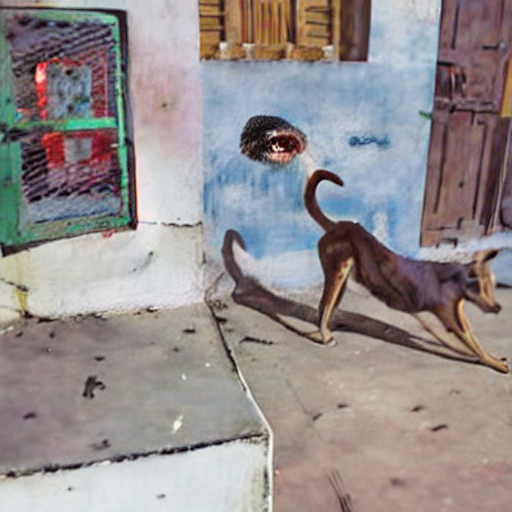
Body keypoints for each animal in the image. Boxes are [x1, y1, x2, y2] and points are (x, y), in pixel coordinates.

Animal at [304, 169, 510, 374]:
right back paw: (325, 335)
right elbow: (476, 347)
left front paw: (493, 358)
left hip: (342, 279)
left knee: (324, 307)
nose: (497, 307)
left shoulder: (456, 319)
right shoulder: (453, 322)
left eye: (492, 285)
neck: (454, 281)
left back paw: (327, 329)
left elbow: (469, 344)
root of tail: (335, 225)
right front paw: (495, 363)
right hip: (338, 274)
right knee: (325, 307)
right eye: (477, 285)